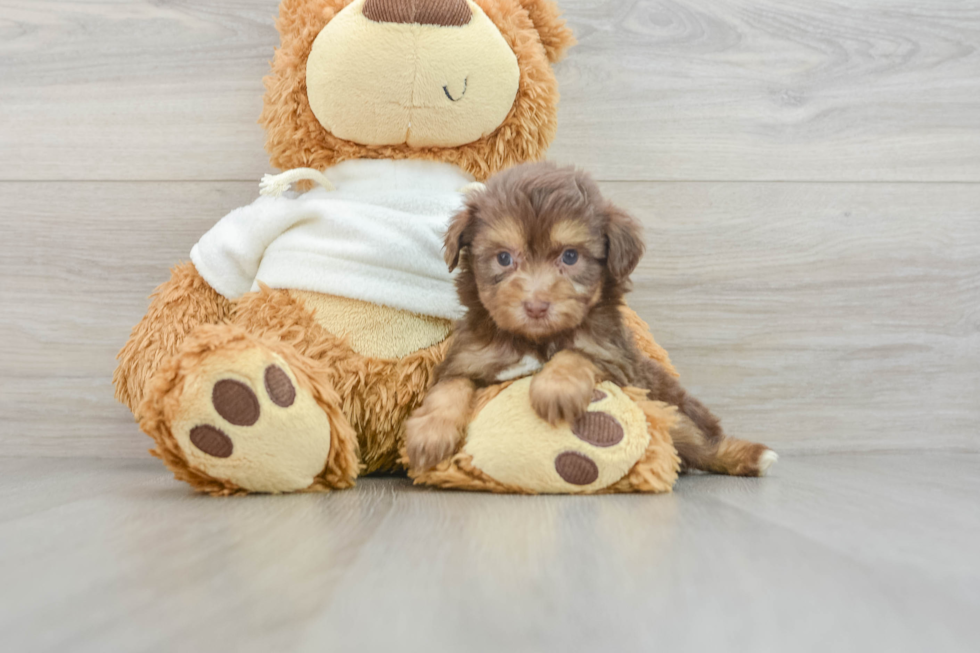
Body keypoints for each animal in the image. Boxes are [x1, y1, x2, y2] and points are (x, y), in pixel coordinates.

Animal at [402, 160, 776, 476]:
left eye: (570, 256)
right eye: (504, 258)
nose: (536, 306)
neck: (535, 341)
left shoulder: (615, 359)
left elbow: (576, 353)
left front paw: (555, 388)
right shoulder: (469, 358)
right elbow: (449, 387)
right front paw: (429, 432)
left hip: (671, 406)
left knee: (701, 444)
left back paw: (751, 456)